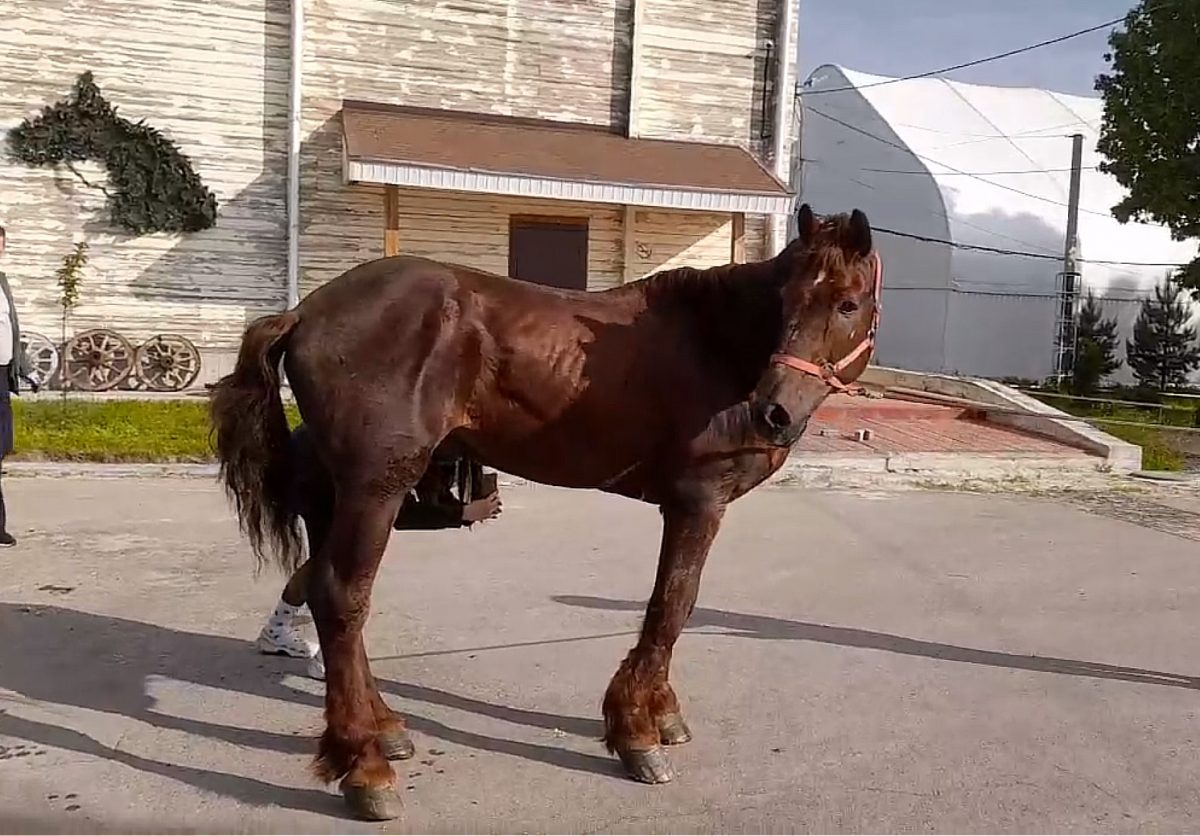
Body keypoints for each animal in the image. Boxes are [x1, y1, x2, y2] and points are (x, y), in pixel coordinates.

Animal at [208, 200, 883, 815]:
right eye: (786, 301)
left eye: (846, 303)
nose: (775, 411)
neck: (714, 345)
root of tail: (303, 313)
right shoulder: (697, 503)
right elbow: (672, 605)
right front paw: (636, 733)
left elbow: (676, 608)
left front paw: (661, 714)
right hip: (375, 488)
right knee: (341, 597)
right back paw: (366, 769)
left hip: (343, 495)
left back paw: (385, 729)